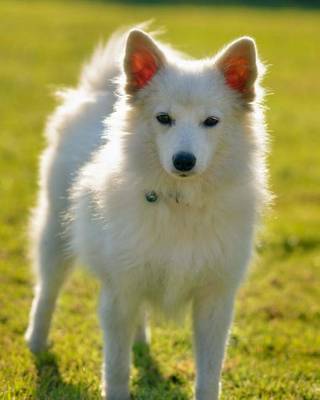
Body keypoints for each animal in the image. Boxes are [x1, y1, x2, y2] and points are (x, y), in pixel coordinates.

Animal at [25, 26, 270, 398]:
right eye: (163, 118)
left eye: (211, 121)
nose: (184, 161)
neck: (179, 201)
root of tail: (100, 93)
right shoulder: (118, 294)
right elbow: (116, 367)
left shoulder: (215, 299)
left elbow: (209, 374)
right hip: (55, 232)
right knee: (47, 290)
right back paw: (37, 342)